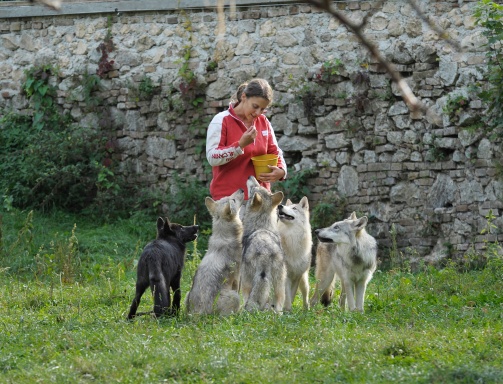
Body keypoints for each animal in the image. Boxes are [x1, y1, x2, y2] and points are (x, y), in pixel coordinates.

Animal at [187, 188, 246, 316]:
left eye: (229, 196)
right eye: (233, 200)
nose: (242, 189)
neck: (225, 236)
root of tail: (201, 312)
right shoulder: (237, 277)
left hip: (187, 294)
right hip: (234, 297)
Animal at [241, 177, 288, 312]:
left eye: (253, 189)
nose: (250, 176)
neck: (261, 226)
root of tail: (265, 252)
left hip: (246, 283)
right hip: (280, 285)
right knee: (278, 305)